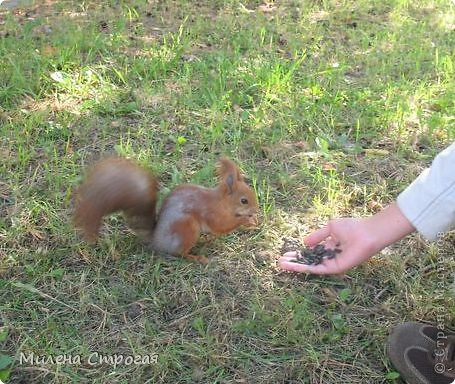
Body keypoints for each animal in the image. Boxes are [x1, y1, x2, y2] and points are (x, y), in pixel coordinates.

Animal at [75, 157, 260, 264]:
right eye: (244, 200)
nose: (257, 210)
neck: (221, 202)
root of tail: (156, 240)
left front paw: (252, 222)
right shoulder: (212, 213)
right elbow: (221, 226)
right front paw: (246, 220)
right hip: (186, 229)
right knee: (180, 253)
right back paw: (197, 258)